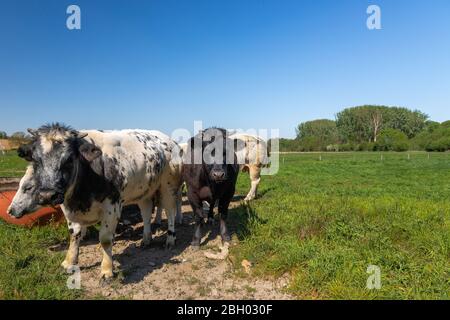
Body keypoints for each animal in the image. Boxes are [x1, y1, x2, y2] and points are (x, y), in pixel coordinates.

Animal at [7, 124, 183, 282]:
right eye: (36, 160)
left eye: (69, 159)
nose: (47, 195)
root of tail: (169, 140)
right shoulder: (68, 208)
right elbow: (74, 235)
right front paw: (69, 262)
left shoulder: (112, 206)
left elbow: (105, 239)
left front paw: (106, 270)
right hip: (144, 190)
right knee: (146, 212)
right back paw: (146, 239)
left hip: (168, 185)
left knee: (170, 211)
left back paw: (170, 239)